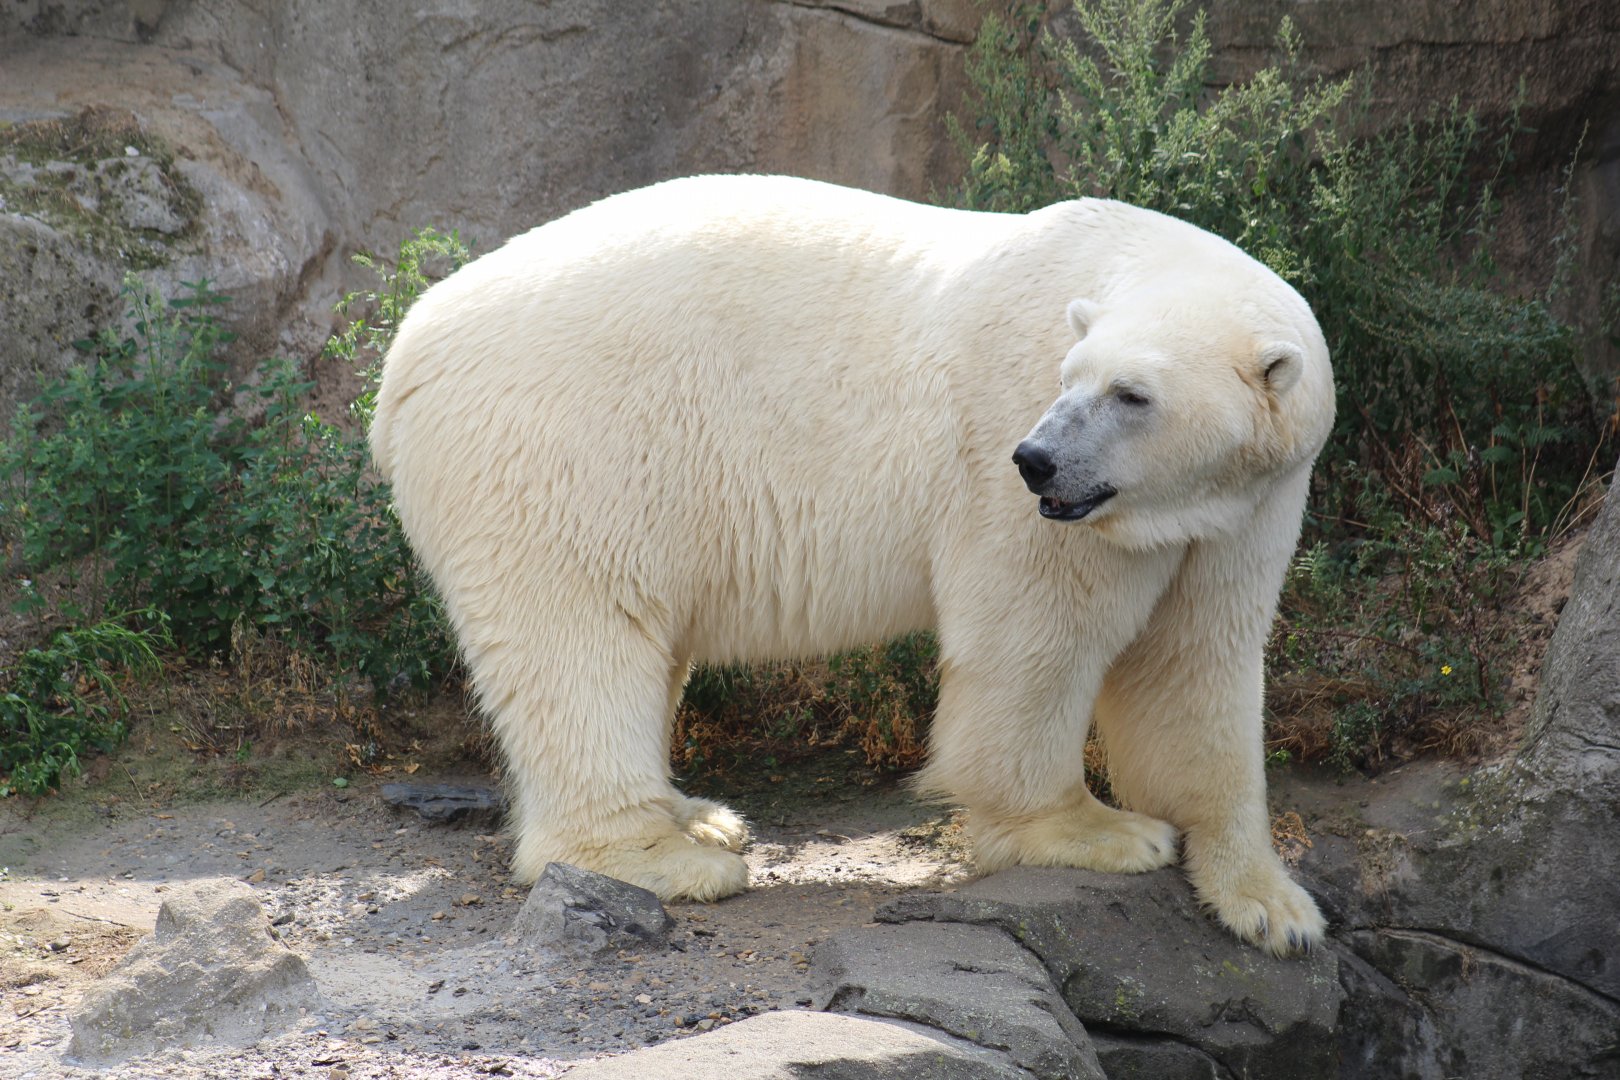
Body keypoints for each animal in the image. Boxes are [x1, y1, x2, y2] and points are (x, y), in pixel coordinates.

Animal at [369, 174, 1335, 955]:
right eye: (1070, 378)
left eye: (1132, 395)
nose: (1037, 461)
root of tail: (407, 354)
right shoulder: (1014, 463)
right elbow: (1038, 641)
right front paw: (1100, 831)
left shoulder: (1248, 504)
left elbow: (1197, 664)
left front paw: (1274, 906)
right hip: (566, 452)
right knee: (584, 641)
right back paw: (665, 856)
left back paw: (699, 817)